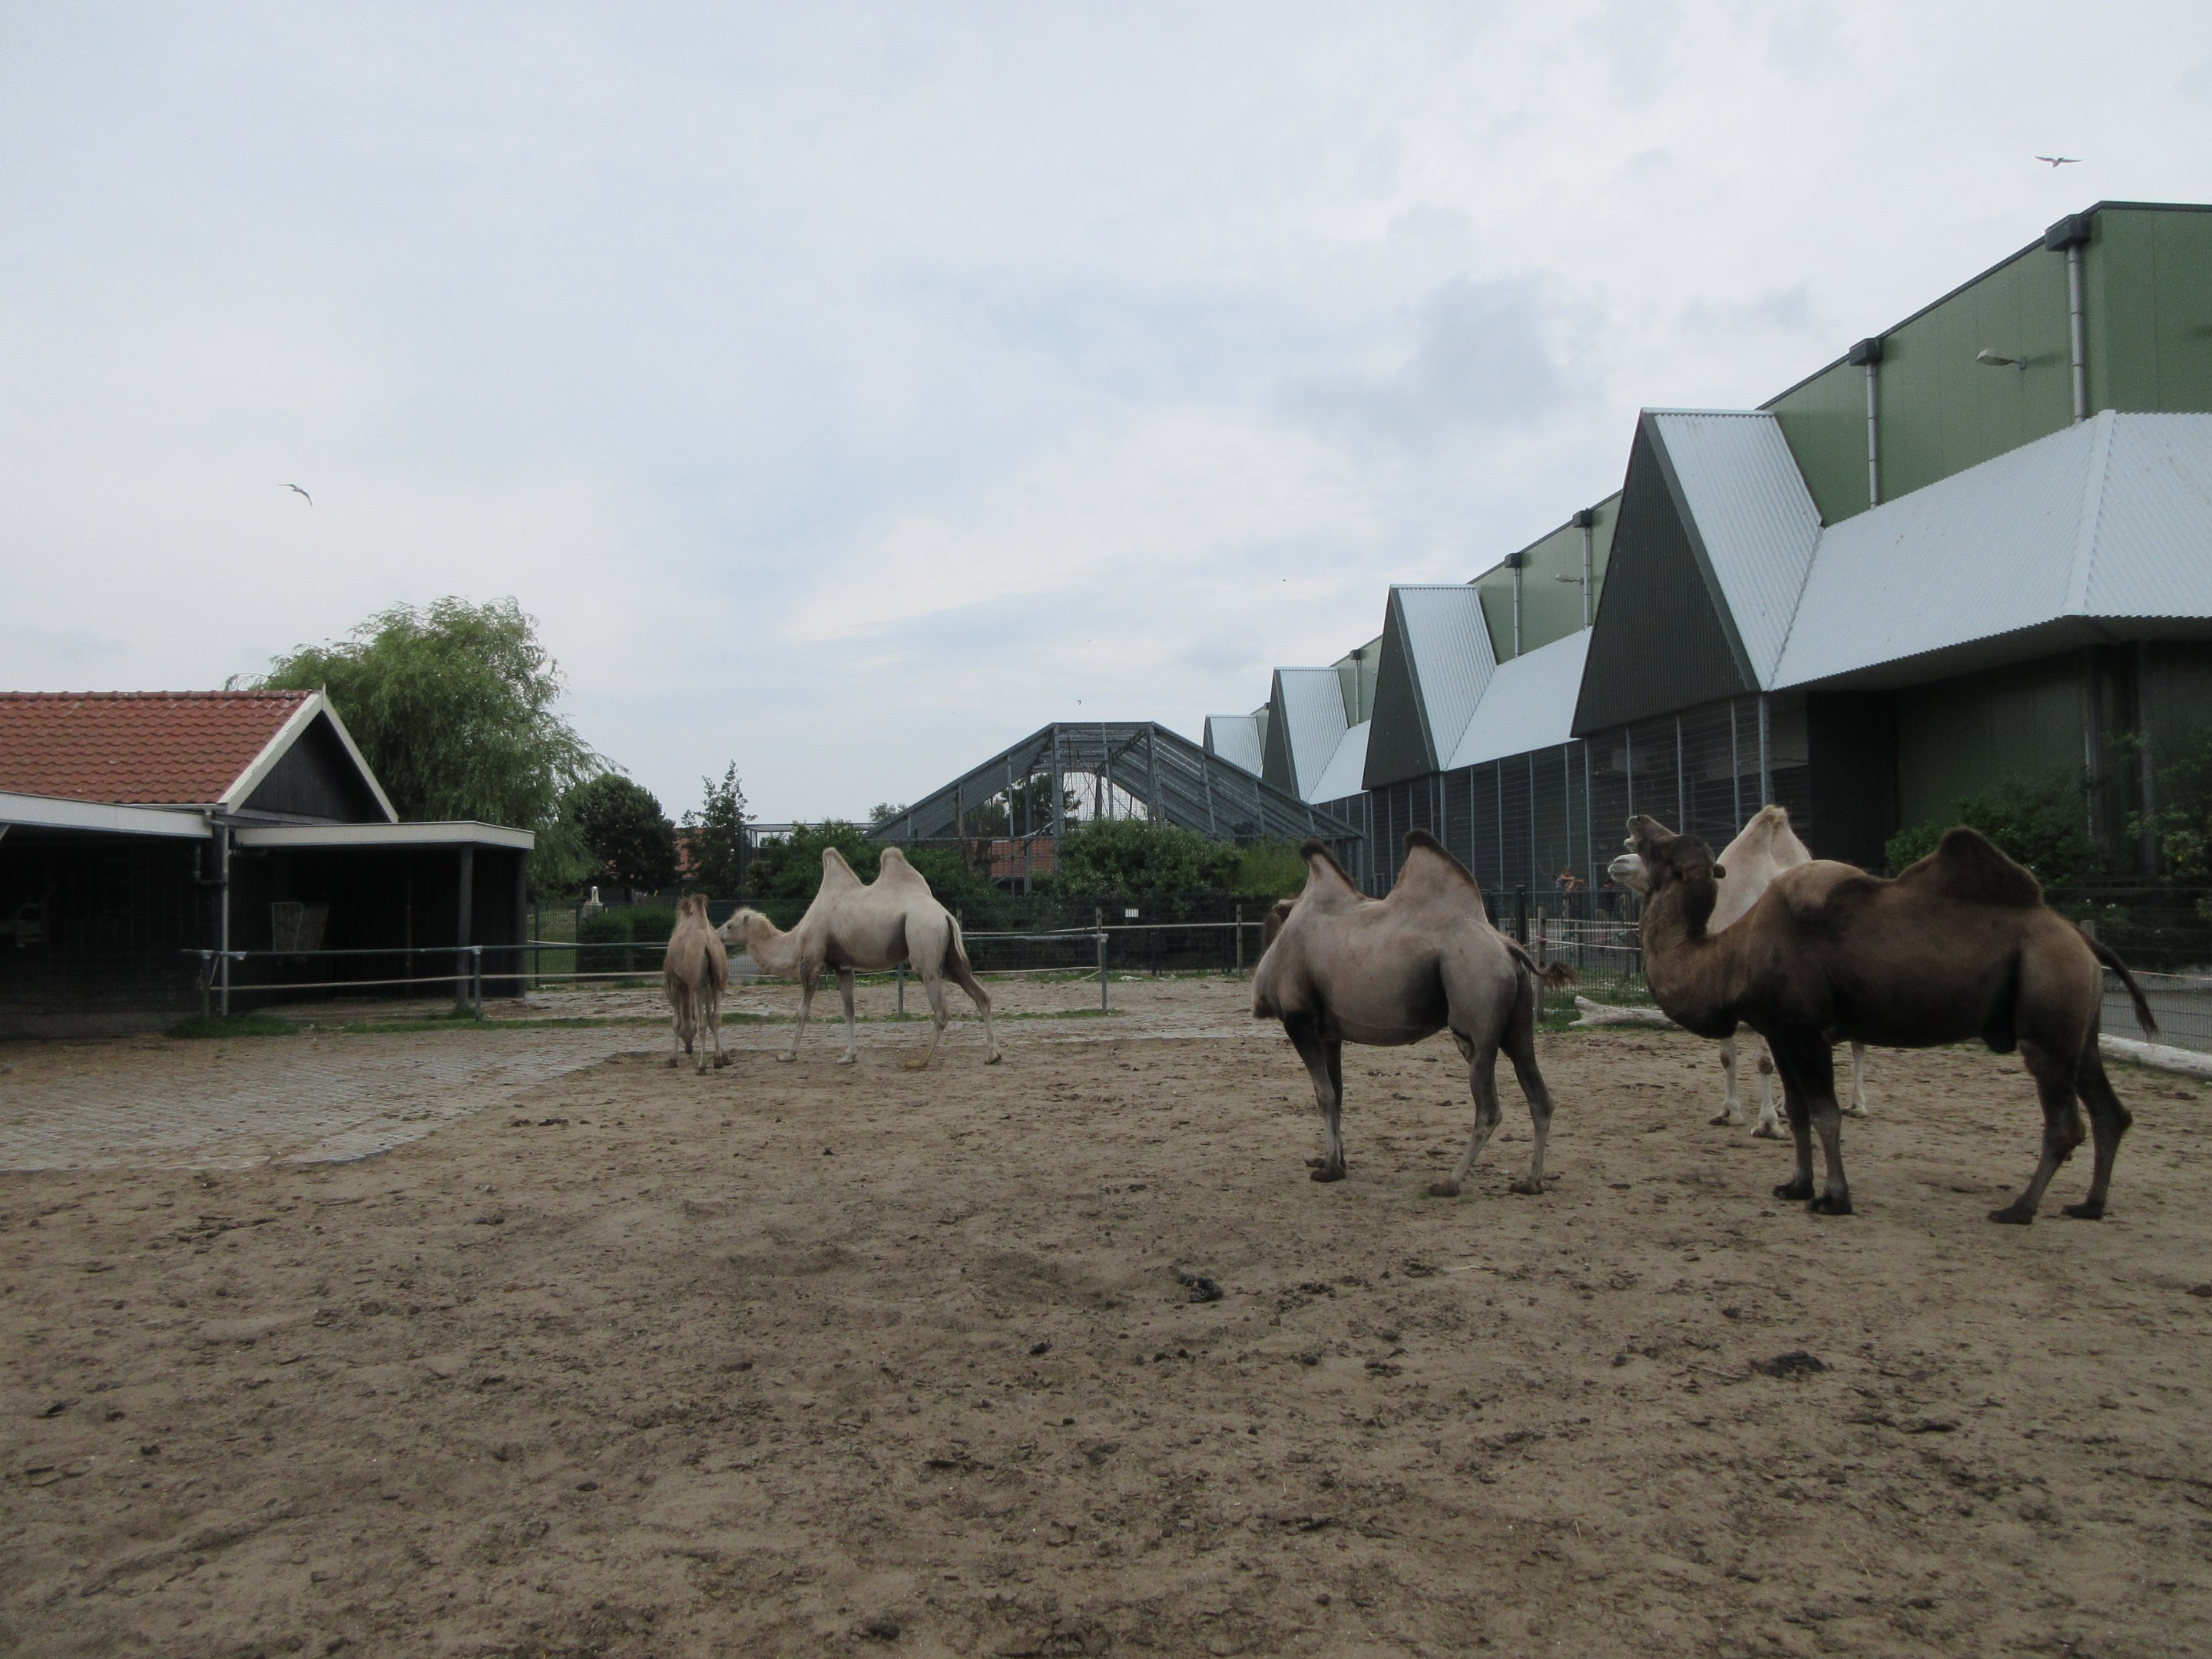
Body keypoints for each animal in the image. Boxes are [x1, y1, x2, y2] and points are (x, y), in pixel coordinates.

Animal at [662, 893, 731, 1073]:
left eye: (688, 1034)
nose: (688, 1049)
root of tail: (708, 947)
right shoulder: (708, 988)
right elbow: (712, 1018)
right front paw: (723, 1056)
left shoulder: (675, 984)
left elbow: (676, 1021)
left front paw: (672, 1059)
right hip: (719, 984)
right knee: (716, 1017)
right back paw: (717, 1061)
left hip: (697, 986)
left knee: (702, 1023)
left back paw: (701, 1066)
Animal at [719, 846, 1001, 1069]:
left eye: (731, 925)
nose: (717, 933)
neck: (796, 939)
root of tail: (946, 914)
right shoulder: (842, 967)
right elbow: (849, 1010)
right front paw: (848, 1056)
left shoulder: (812, 962)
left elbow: (802, 1011)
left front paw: (788, 1054)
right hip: (949, 956)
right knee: (981, 995)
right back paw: (993, 1055)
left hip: (924, 941)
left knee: (941, 1008)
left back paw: (920, 1060)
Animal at [1252, 829, 1574, 1197]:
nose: (1259, 1001)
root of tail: (1510, 948)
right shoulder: (1330, 1034)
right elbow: (1339, 1094)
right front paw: (1337, 1163)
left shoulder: (1300, 1022)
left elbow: (1324, 1095)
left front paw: (1329, 1169)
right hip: (1516, 1024)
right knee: (1539, 1095)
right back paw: (1530, 1182)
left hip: (1477, 1017)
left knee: (1489, 1108)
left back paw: (1449, 1182)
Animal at [1608, 805, 1868, 1137]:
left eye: (1659, 848)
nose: (1618, 862)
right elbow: (1727, 1056)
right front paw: (1730, 1112)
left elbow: (1764, 1060)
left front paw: (1767, 1123)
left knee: (1856, 1041)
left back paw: (1857, 1104)